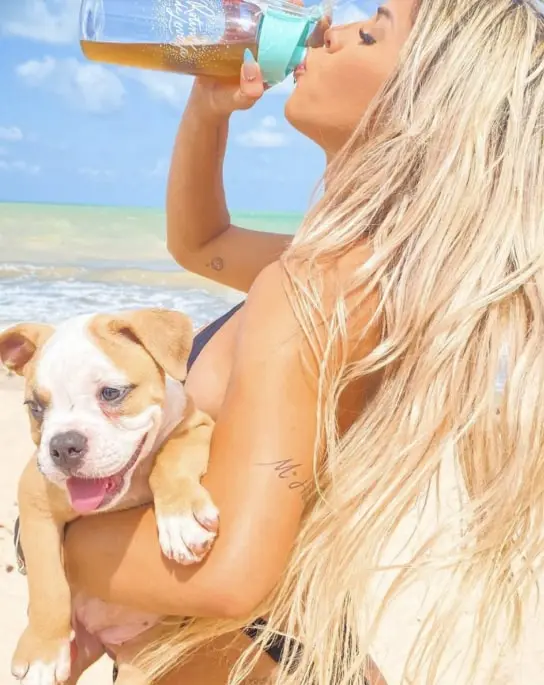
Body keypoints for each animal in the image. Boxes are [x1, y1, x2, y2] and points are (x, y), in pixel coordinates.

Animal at [1, 308, 221, 684]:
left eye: (111, 393)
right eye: (35, 407)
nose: (63, 445)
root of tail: (102, 639)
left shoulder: (196, 424)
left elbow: (172, 457)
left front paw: (180, 521)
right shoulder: (35, 498)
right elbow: (47, 581)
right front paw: (43, 652)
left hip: (142, 661)